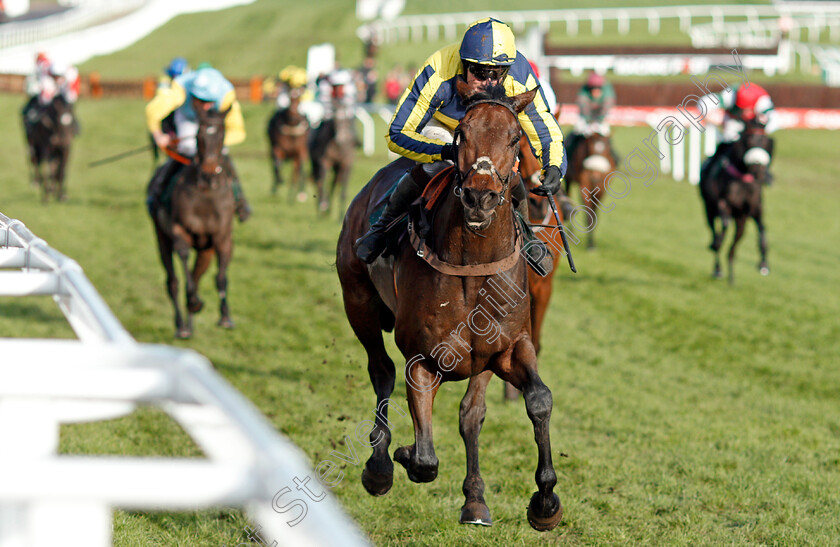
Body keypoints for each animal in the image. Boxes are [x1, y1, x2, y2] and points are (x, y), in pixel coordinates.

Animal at [150, 105, 235, 340]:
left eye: (222, 133)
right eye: (199, 134)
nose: (208, 170)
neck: (206, 190)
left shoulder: (222, 236)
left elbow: (221, 277)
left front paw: (225, 316)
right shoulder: (179, 230)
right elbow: (184, 258)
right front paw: (194, 303)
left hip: (205, 249)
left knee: (197, 276)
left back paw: (190, 319)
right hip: (161, 237)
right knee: (172, 281)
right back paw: (182, 325)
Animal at [336, 81, 564, 532]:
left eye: (515, 137)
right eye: (461, 134)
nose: (479, 197)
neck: (472, 267)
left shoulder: (507, 348)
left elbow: (537, 400)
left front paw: (545, 501)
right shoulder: (422, 358)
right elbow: (425, 460)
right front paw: (402, 455)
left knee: (470, 413)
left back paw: (474, 499)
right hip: (358, 303)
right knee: (381, 371)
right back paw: (380, 466)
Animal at [700, 118, 772, 284]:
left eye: (765, 141)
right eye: (748, 140)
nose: (758, 169)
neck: (743, 177)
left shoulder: (751, 209)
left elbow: (760, 228)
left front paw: (763, 263)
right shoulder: (722, 203)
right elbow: (724, 226)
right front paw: (717, 243)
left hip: (743, 217)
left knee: (736, 242)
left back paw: (733, 274)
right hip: (708, 209)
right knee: (714, 228)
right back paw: (718, 267)